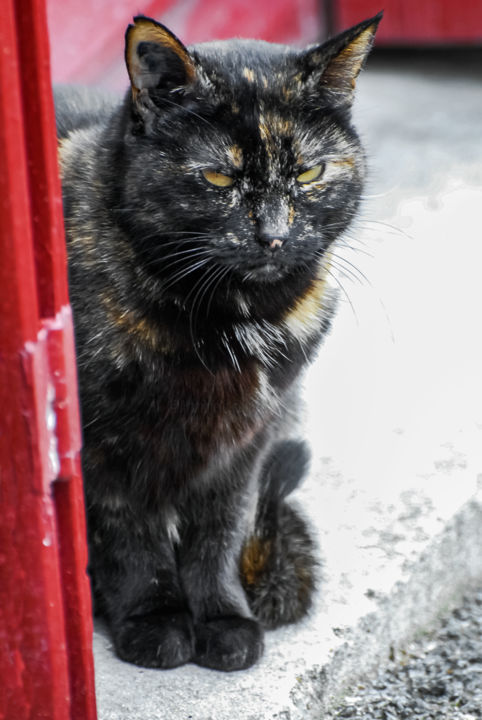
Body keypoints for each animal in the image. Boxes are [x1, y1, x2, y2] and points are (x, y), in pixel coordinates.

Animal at [55, 11, 380, 672]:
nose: (274, 236)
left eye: (309, 172)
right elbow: (130, 537)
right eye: (218, 176)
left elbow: (220, 533)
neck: (228, 318)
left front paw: (224, 619)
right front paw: (154, 620)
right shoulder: (102, 444)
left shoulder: (246, 440)